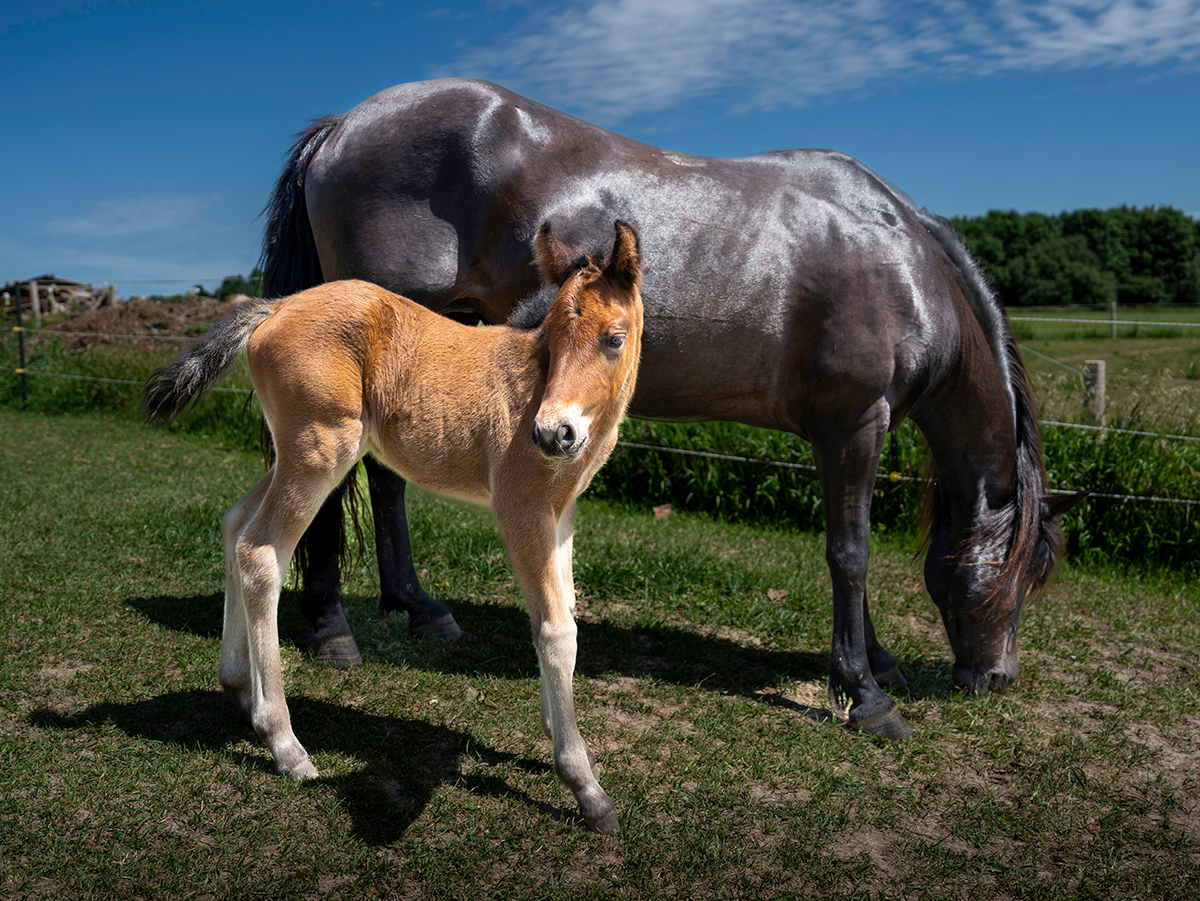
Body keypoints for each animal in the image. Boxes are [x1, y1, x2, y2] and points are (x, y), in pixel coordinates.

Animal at [145, 221, 643, 835]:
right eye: (550, 337)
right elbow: (556, 630)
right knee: (261, 552)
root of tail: (276, 306)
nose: (552, 434)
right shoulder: (520, 508)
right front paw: (584, 784)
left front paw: (554, 736)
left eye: (614, 338)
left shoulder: (562, 512)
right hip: (319, 450)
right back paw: (284, 743)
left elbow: (561, 611)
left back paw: (238, 686)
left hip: (301, 454)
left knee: (236, 525)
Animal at [262, 77, 1080, 739]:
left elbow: (847, 549)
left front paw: (875, 660)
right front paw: (867, 694)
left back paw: (417, 608)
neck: (902, 261)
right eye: (1028, 570)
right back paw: (331, 625)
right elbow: (850, 553)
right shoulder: (854, 423)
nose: (995, 678)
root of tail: (343, 126)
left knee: (384, 478)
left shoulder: (840, 433)